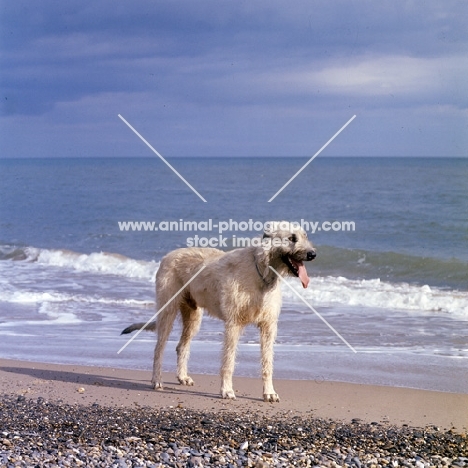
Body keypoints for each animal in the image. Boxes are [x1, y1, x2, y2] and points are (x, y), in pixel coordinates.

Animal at [122, 222, 316, 402]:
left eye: (305, 235)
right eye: (292, 238)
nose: (313, 254)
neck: (262, 271)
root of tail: (166, 256)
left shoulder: (268, 325)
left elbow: (267, 361)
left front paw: (269, 392)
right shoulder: (233, 324)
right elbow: (228, 360)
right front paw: (227, 390)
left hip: (193, 316)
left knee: (181, 346)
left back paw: (183, 377)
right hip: (167, 309)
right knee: (159, 348)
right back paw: (156, 380)